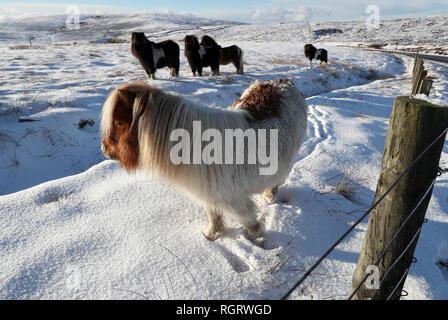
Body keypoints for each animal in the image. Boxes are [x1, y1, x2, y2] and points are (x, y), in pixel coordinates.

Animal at [99, 79, 306, 242]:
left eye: (119, 122)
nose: (105, 149)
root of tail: (285, 82)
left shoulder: (234, 198)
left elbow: (246, 219)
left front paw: (256, 237)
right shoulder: (207, 194)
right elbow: (213, 215)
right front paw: (212, 234)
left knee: (277, 179)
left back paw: (270, 196)